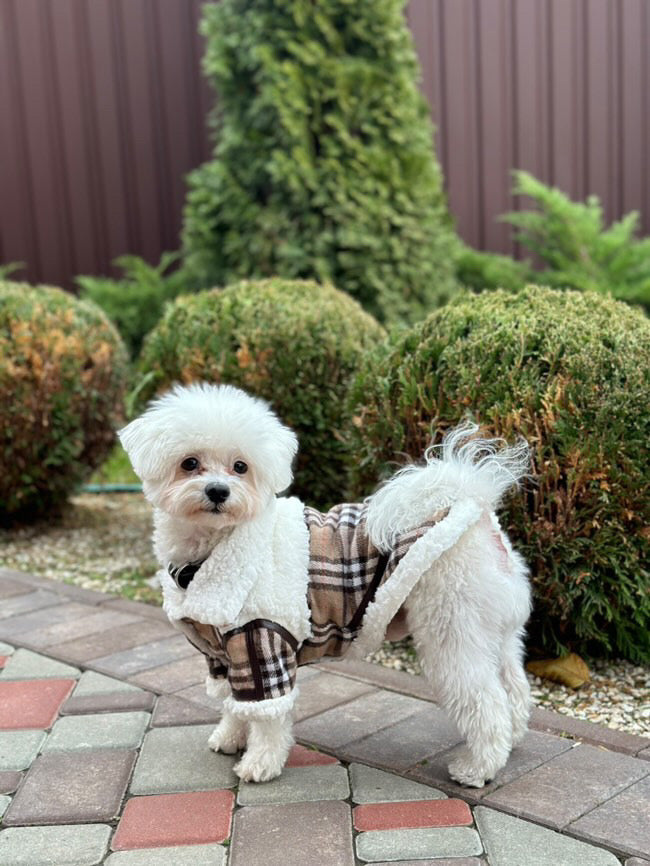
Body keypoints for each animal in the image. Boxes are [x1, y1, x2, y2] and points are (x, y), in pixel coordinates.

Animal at [119, 382, 528, 788]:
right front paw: (231, 737)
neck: (214, 548)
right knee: (513, 687)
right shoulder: (222, 654)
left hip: (452, 627)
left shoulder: (263, 640)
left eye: (241, 467)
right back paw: (513, 739)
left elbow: (267, 714)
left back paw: (478, 768)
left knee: (484, 701)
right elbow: (236, 704)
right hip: (495, 632)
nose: (219, 491)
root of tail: (474, 511)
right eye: (189, 463)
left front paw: (260, 763)